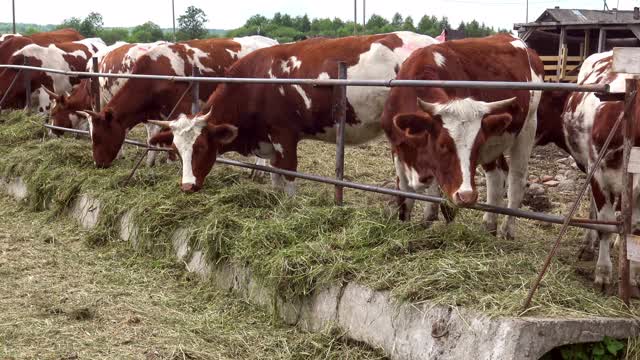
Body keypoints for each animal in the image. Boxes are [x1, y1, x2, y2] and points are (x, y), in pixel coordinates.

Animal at [74, 35, 278, 167]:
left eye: (98, 137)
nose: (98, 164)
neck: (155, 74)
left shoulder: (183, 107)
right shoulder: (159, 114)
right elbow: (157, 136)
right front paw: (158, 161)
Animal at [144, 31, 436, 194]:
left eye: (202, 147)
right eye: (176, 150)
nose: (187, 186)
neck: (254, 83)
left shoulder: (284, 136)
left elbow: (289, 176)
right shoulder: (269, 142)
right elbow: (276, 179)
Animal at [382, 34, 544, 239]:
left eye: (477, 145)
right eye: (442, 145)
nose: (467, 196)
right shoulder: (398, 149)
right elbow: (405, 193)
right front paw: (406, 222)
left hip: (529, 125)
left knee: (517, 179)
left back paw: (507, 230)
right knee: (497, 176)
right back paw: (489, 224)